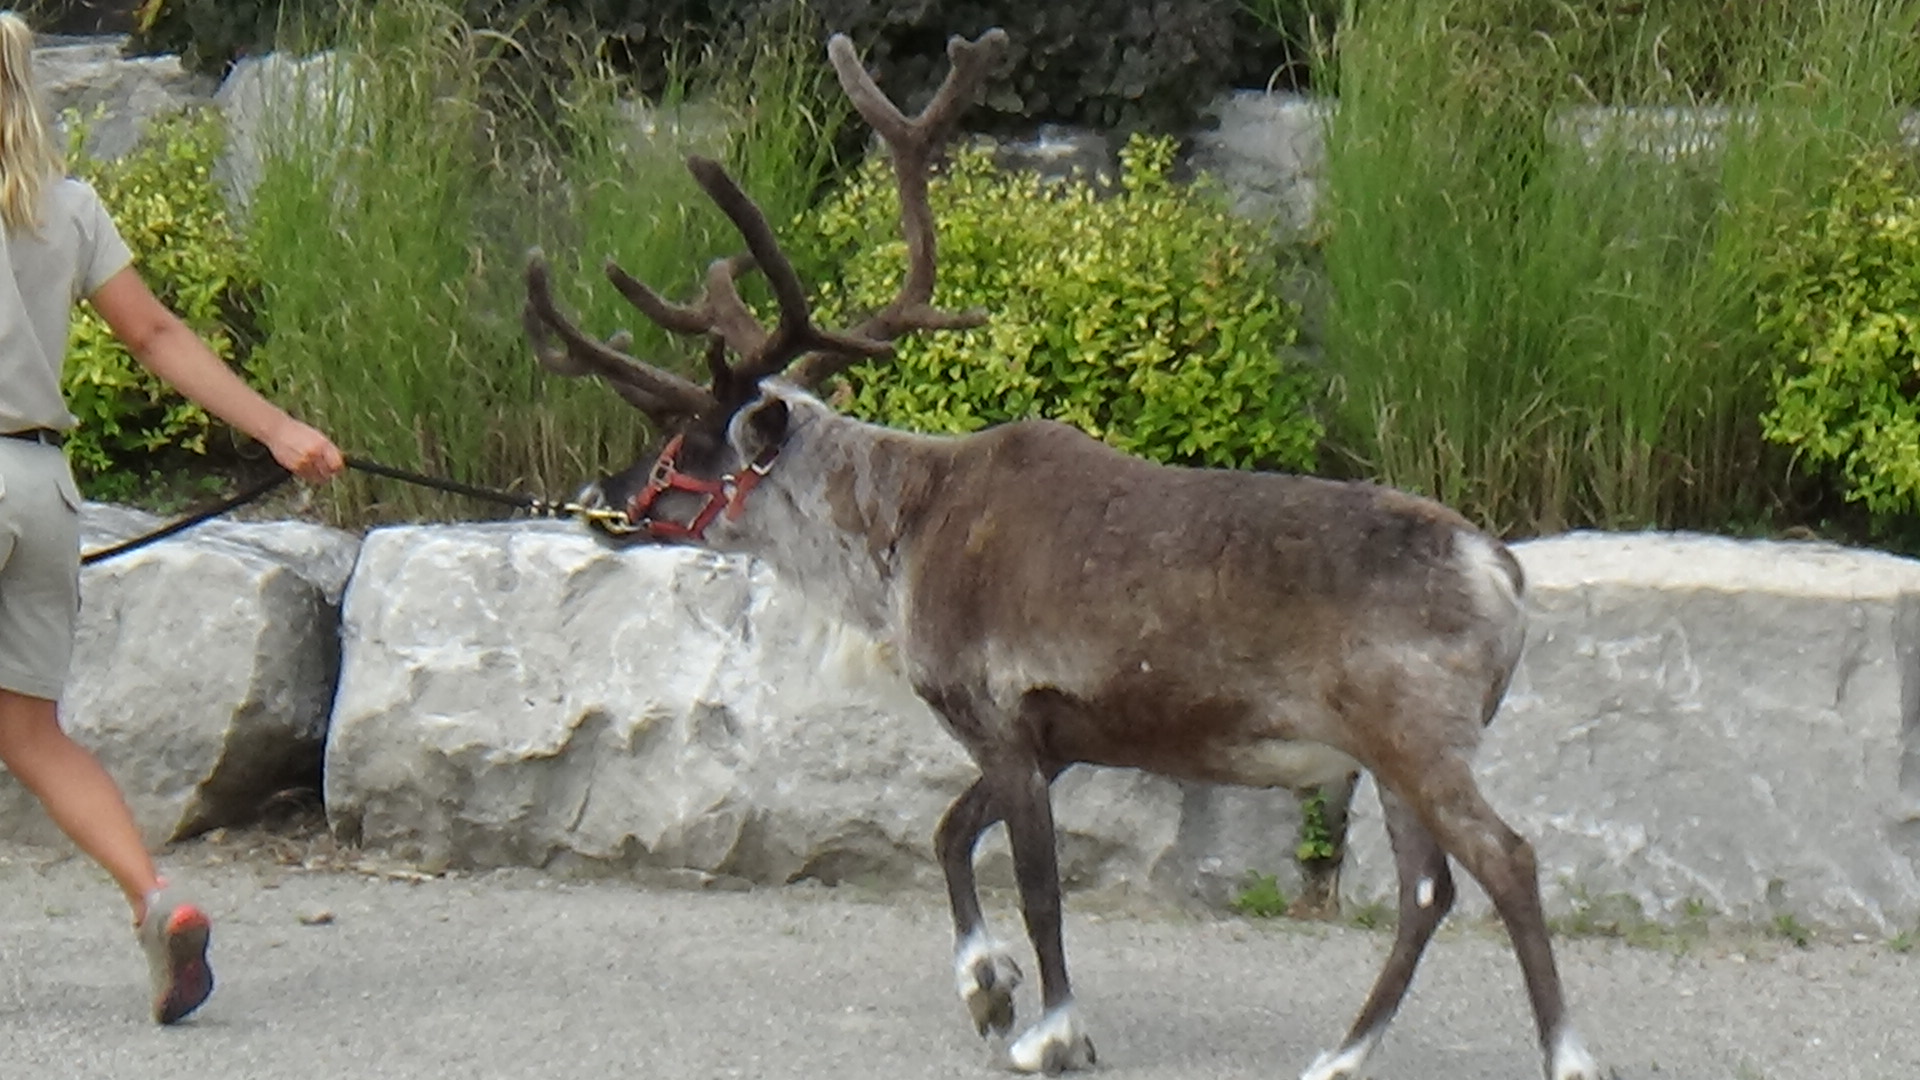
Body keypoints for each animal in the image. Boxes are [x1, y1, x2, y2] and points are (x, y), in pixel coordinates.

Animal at [520, 27, 1604, 1080]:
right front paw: (985, 988)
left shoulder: (999, 714)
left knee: (1506, 861)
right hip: (1386, 752)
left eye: (683, 440)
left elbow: (1038, 884)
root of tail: (1502, 569)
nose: (596, 499)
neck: (897, 540)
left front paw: (1052, 1031)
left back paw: (1567, 1055)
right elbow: (951, 832)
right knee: (1428, 890)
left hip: (1413, 731)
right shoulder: (1056, 737)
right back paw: (1338, 1057)